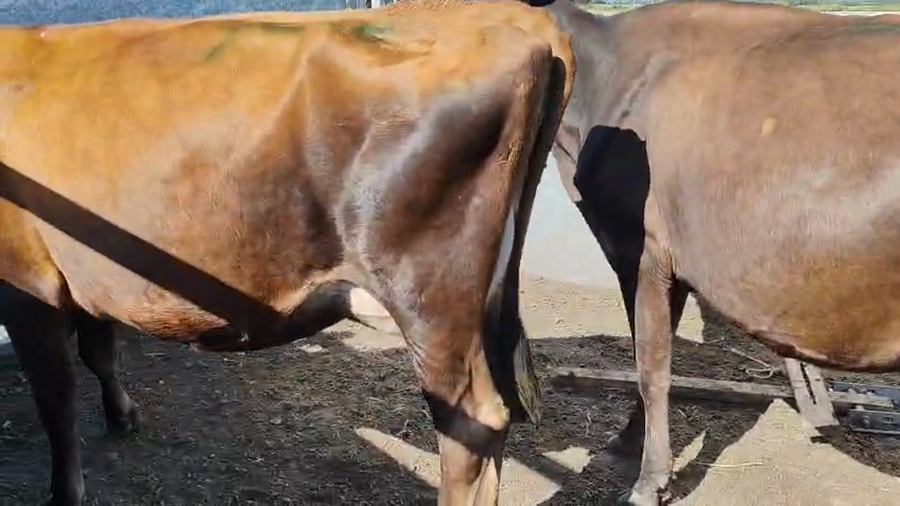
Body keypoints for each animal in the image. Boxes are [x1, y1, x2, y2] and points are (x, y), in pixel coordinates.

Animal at [0, 1, 576, 504]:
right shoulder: (82, 273)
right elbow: (99, 352)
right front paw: (122, 415)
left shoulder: (28, 284)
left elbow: (56, 401)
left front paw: (65, 490)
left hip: (432, 297)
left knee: (471, 425)